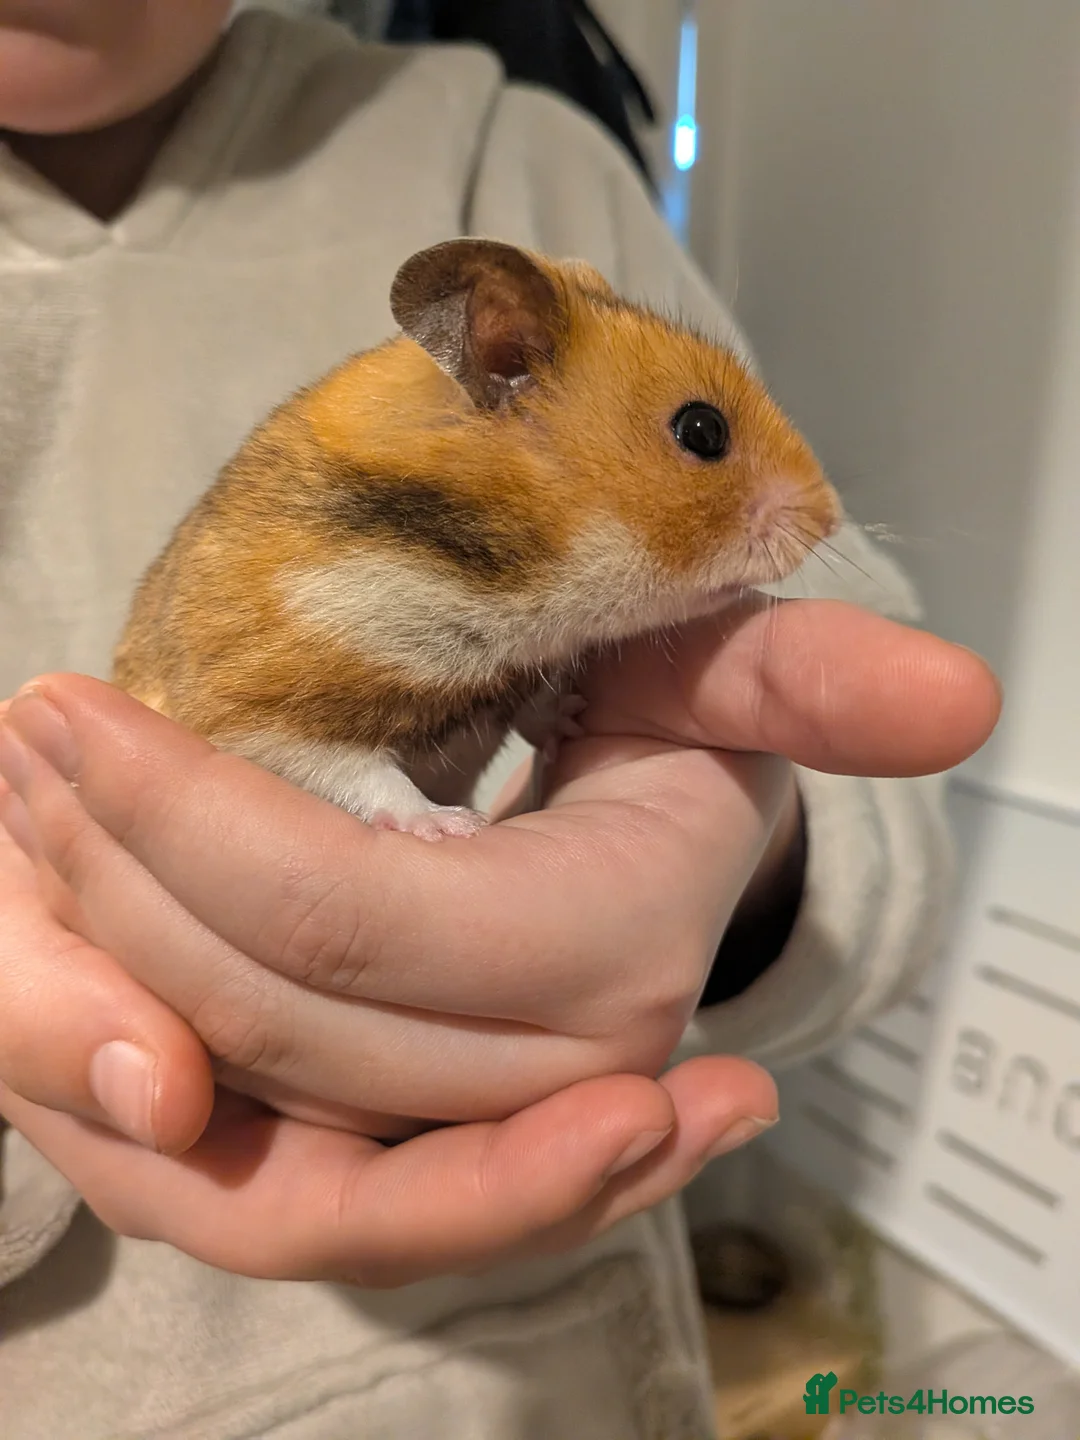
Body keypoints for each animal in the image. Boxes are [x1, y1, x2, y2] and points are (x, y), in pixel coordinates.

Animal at [113, 239, 842, 839]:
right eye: (702, 430)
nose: (831, 516)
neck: (496, 577)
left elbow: (531, 706)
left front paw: (573, 717)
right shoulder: (260, 716)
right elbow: (365, 776)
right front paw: (452, 827)